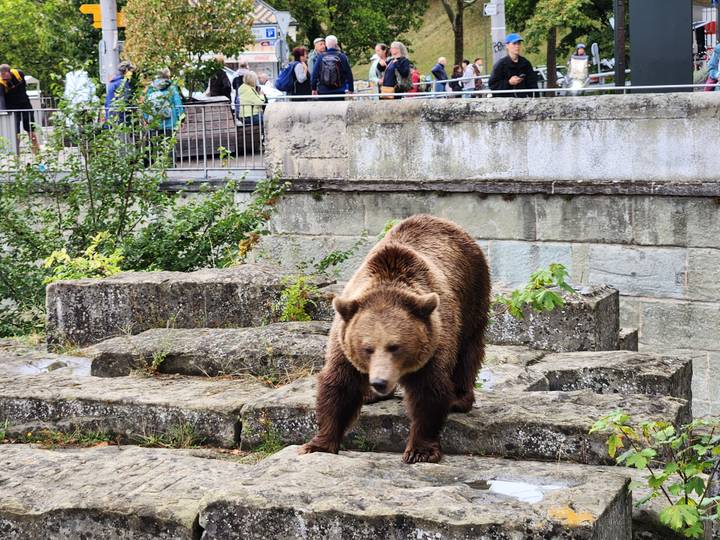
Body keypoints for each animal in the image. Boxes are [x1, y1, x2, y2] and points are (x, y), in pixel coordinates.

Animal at [299, 214, 490, 464]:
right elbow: (339, 385)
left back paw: (458, 398)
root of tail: (442, 221)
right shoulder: (343, 341)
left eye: (395, 347)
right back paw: (370, 395)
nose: (379, 382)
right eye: (367, 348)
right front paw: (318, 444)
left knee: (468, 350)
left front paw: (420, 451)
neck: (388, 284)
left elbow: (429, 391)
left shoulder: (435, 339)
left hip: (472, 292)